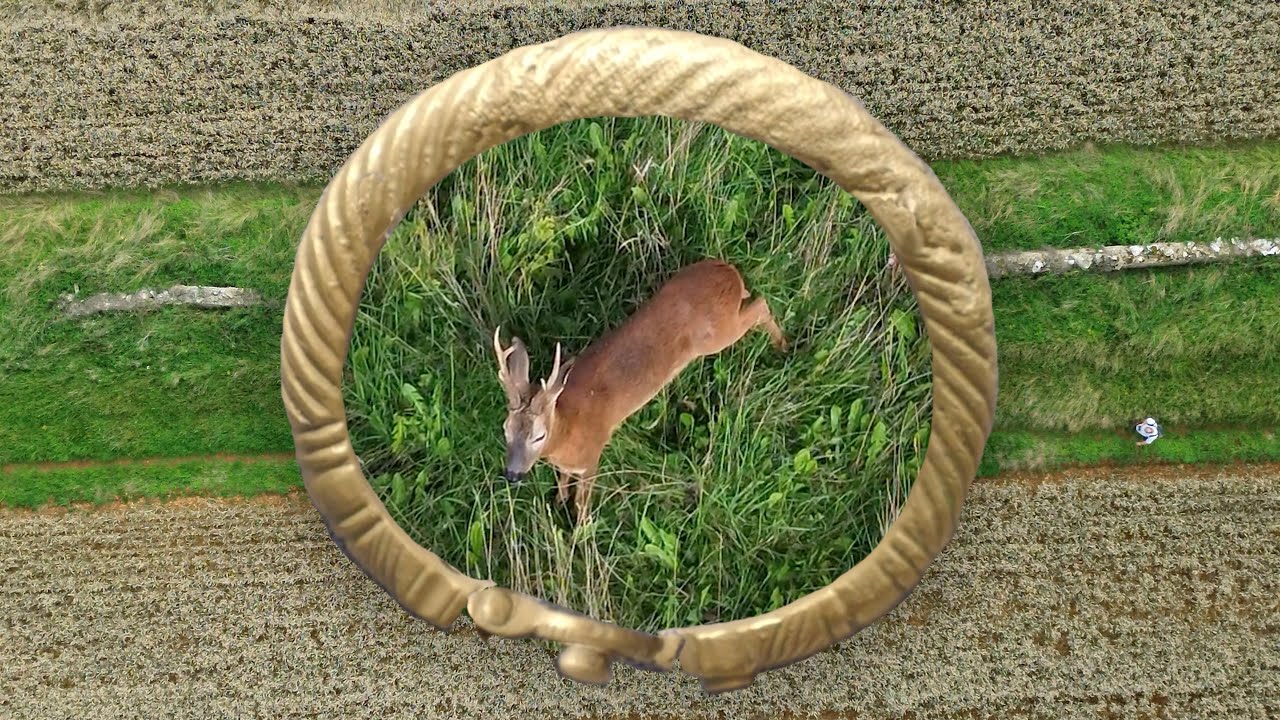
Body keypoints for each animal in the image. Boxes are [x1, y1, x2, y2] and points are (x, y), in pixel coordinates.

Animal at [492, 258, 788, 525]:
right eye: (506, 429)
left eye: (539, 435)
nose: (512, 475)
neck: (567, 429)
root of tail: (730, 271)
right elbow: (564, 481)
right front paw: (557, 501)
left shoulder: (592, 455)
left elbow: (581, 503)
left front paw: (581, 531)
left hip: (717, 335)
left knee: (760, 305)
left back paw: (783, 345)